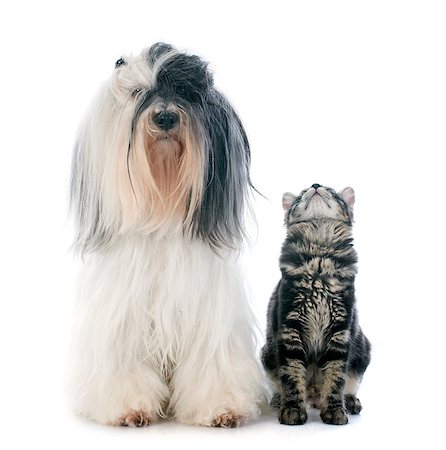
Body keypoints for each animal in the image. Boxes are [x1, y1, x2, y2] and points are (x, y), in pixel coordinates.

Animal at [68, 44, 264, 428]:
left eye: (186, 92)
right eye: (136, 92)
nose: (164, 118)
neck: (162, 217)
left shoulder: (209, 321)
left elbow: (211, 363)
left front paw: (222, 407)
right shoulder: (123, 321)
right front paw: (129, 407)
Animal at [262, 183, 370, 426]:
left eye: (331, 190)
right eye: (302, 193)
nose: (315, 185)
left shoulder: (340, 330)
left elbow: (335, 378)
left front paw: (334, 410)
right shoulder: (290, 328)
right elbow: (292, 376)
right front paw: (292, 409)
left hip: (363, 349)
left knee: (349, 386)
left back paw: (349, 402)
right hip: (266, 353)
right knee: (279, 384)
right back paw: (279, 401)